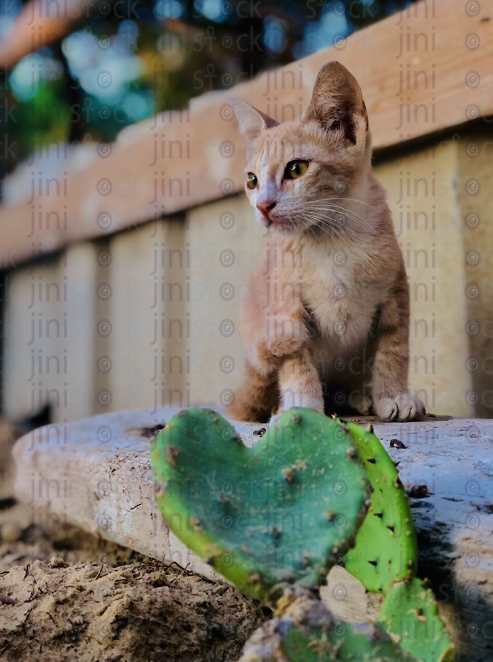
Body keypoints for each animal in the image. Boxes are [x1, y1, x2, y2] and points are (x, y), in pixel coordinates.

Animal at [227, 63, 422, 426]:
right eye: (252, 180)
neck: (333, 243)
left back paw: (357, 398)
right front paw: (302, 404)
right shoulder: (284, 303)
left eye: (296, 168)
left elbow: (394, 348)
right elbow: (295, 360)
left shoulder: (396, 290)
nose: (262, 206)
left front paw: (393, 395)